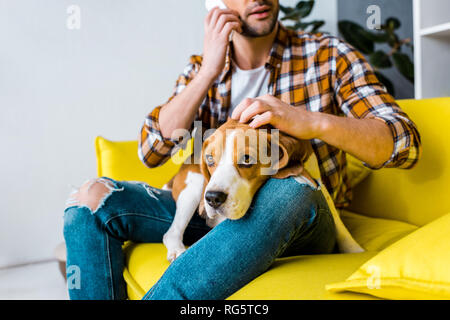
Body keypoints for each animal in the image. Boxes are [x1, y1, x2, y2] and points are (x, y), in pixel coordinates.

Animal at [162, 119, 362, 262]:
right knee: (171, 233)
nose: (212, 198)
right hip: (194, 189)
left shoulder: (317, 178)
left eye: (247, 159)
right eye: (210, 159)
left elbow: (338, 221)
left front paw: (355, 250)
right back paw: (177, 250)